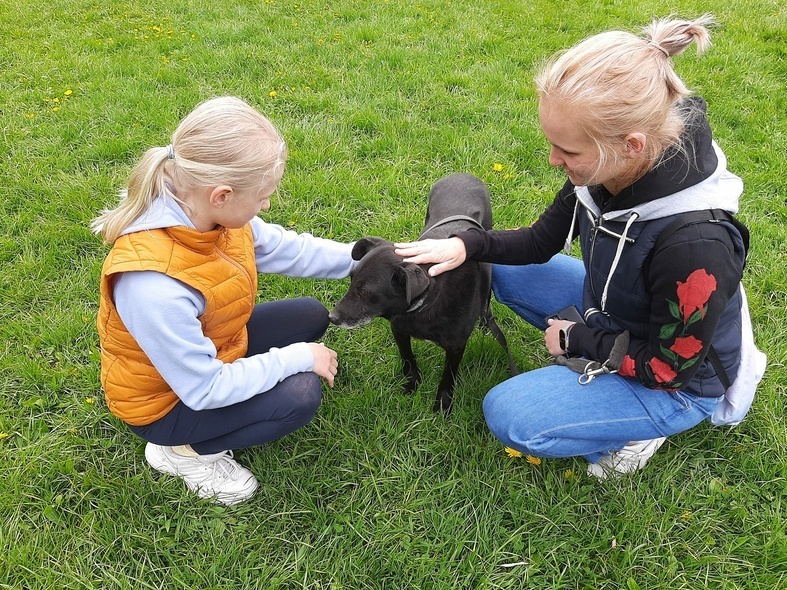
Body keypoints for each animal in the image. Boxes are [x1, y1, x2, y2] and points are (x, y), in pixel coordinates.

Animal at [330, 173, 516, 416]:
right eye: (351, 280)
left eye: (365, 291)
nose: (331, 317)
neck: (423, 304)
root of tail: (463, 174)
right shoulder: (399, 329)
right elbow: (407, 359)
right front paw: (411, 384)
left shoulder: (456, 346)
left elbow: (448, 378)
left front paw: (443, 404)